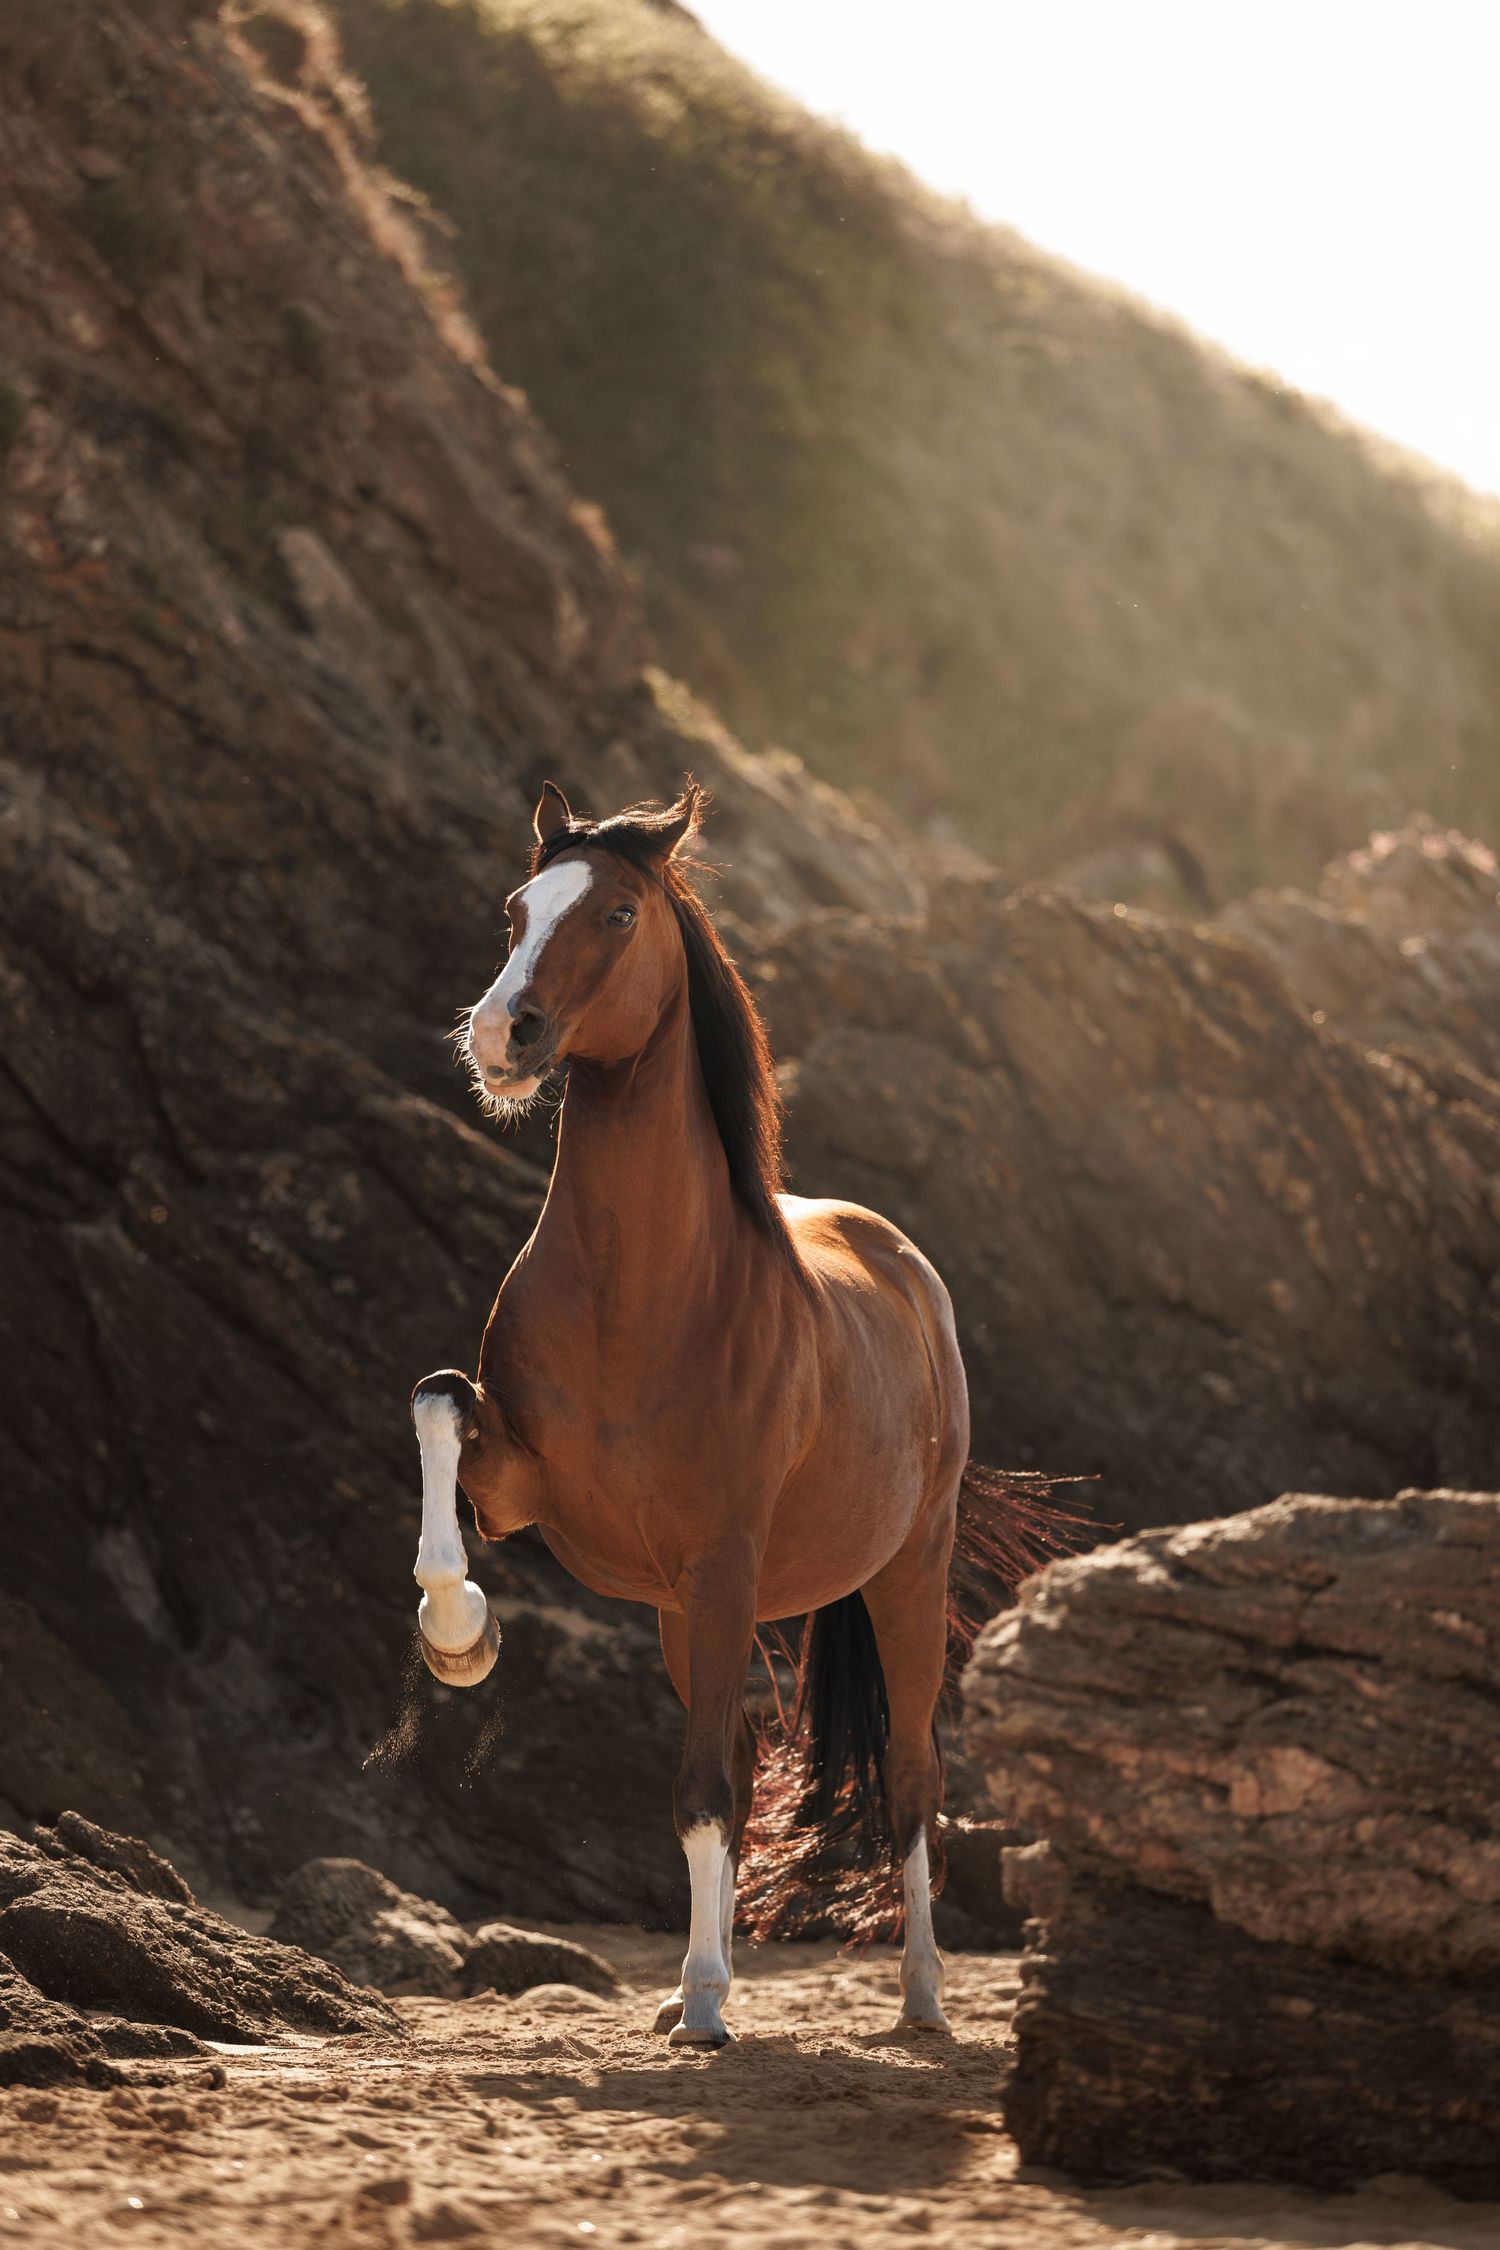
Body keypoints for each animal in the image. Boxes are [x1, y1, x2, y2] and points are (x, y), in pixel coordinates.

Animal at [409, 780, 1041, 2046]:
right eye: (515, 910)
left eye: (614, 911)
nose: (502, 1036)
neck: (640, 1288)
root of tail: (903, 1264)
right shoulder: (533, 1492)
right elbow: (438, 1403)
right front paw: (460, 1637)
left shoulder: (725, 1555)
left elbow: (702, 1787)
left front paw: (706, 2002)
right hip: (680, 1610)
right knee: (750, 1762)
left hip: (901, 1575)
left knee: (910, 1778)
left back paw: (920, 1999)